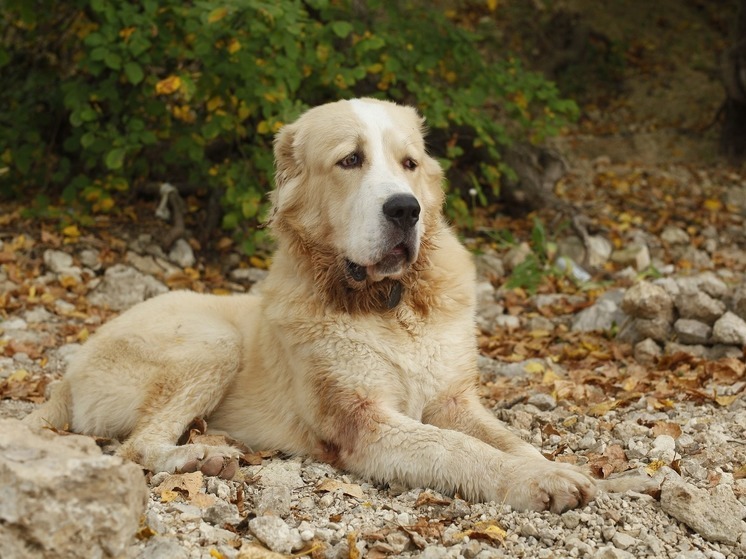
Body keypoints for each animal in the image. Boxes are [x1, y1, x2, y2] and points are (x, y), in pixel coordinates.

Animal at [26, 97, 596, 512]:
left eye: (409, 164)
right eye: (351, 160)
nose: (405, 209)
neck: (389, 304)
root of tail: (67, 376)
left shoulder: (454, 401)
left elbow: (506, 439)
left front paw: (556, 467)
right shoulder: (365, 423)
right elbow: (459, 448)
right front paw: (537, 480)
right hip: (213, 342)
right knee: (135, 447)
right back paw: (201, 458)